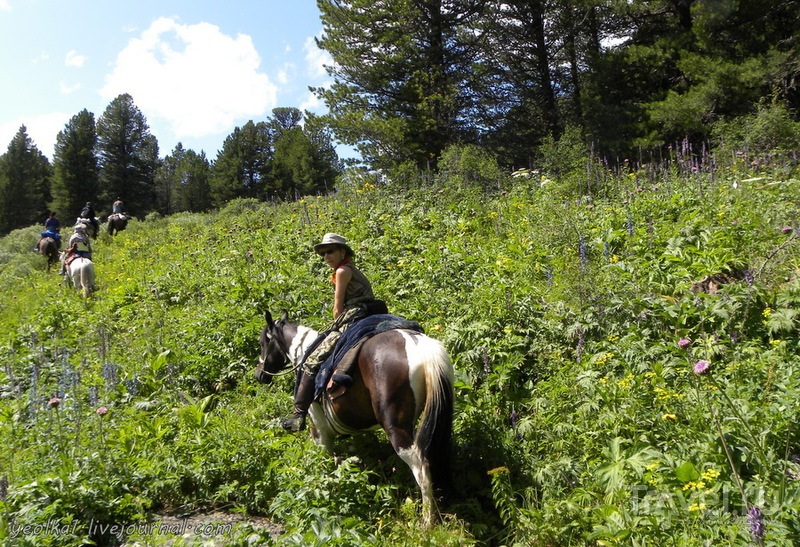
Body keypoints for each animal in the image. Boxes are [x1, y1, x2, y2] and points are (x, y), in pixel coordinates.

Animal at [253, 310, 454, 524]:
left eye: (263, 343)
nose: (259, 374)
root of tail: (421, 347)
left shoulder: (319, 432)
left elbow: (325, 465)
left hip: (396, 428)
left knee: (421, 469)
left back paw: (427, 521)